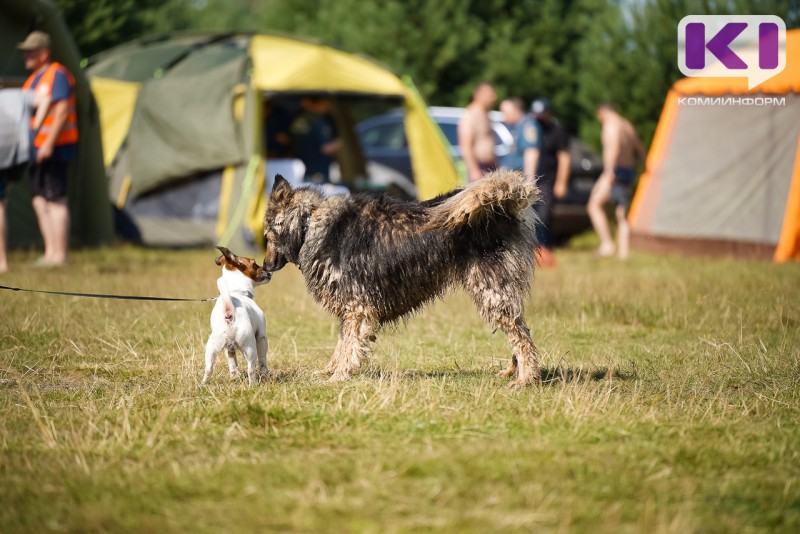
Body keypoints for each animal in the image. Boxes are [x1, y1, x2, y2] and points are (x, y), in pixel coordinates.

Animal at [203, 247, 272, 386]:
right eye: (254, 263)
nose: (270, 273)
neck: (235, 291)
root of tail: (229, 312)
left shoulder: (228, 349)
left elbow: (232, 363)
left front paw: (234, 376)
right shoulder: (261, 336)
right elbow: (263, 360)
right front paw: (265, 373)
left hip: (211, 348)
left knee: (208, 369)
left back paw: (202, 385)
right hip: (250, 348)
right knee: (251, 369)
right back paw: (253, 386)